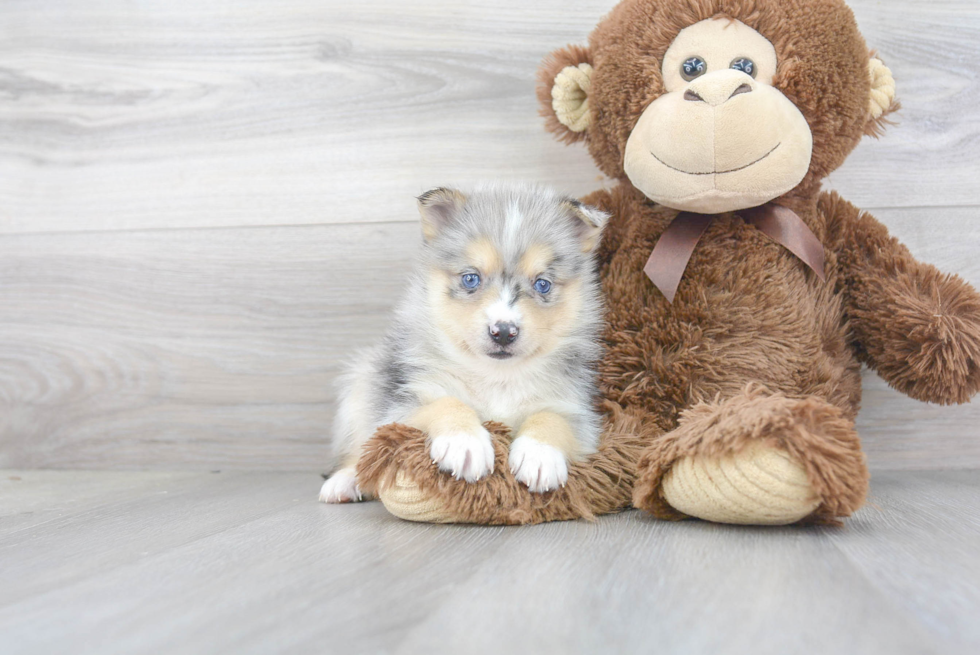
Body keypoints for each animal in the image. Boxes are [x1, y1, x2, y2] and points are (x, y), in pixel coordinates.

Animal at [320, 184, 604, 502]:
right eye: (471, 279)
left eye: (543, 284)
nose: (503, 332)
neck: (496, 377)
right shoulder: (403, 405)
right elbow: (445, 402)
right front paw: (464, 442)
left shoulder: (575, 411)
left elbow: (552, 418)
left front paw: (539, 454)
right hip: (361, 388)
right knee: (358, 450)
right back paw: (345, 482)